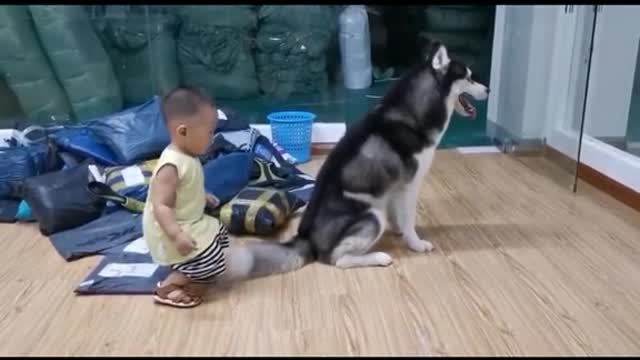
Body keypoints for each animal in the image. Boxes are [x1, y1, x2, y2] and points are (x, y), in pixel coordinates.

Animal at [221, 43, 490, 278]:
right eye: (468, 77)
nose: (488, 90)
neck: (413, 113)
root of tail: (306, 238)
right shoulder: (410, 184)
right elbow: (409, 219)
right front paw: (415, 243)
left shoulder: (395, 188)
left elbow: (398, 216)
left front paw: (399, 232)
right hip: (372, 216)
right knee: (337, 259)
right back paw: (378, 257)